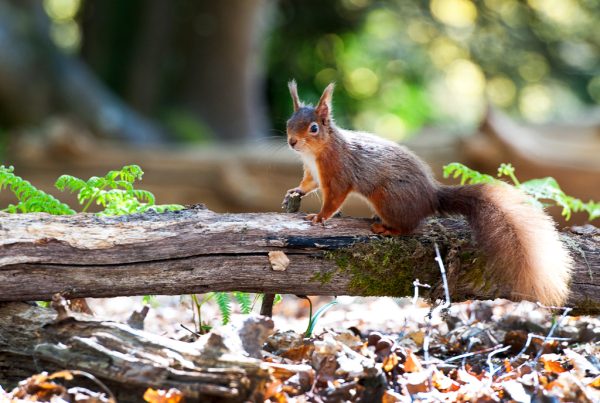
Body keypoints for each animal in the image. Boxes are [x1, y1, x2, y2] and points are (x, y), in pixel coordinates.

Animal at [284, 81, 576, 306]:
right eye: (289, 122)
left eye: (313, 128)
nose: (292, 142)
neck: (316, 153)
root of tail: (431, 197)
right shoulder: (312, 173)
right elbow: (307, 185)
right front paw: (295, 190)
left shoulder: (338, 174)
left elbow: (333, 199)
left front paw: (320, 217)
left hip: (387, 199)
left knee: (410, 227)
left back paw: (387, 229)